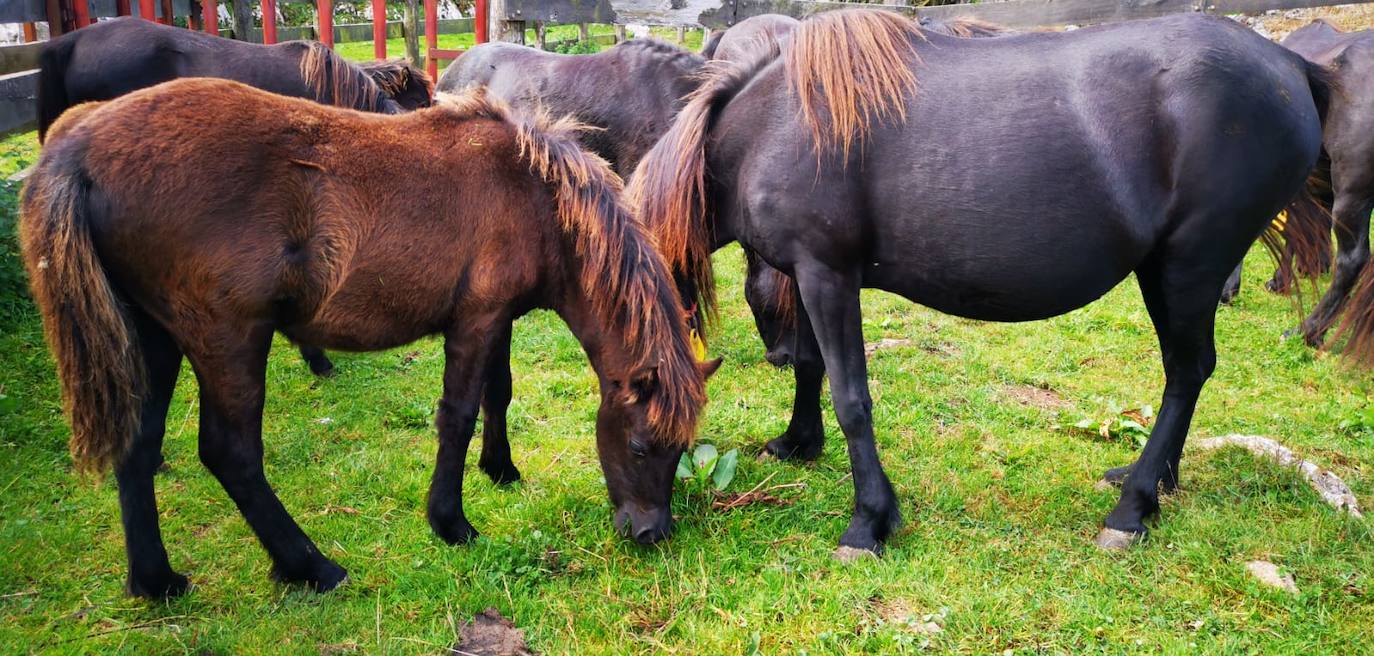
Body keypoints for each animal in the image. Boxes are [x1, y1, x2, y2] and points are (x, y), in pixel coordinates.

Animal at [21, 78, 714, 599]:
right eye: (642, 446)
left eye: (682, 449)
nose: (651, 533)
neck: (532, 195)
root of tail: (78, 147)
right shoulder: (476, 321)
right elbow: (459, 414)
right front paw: (451, 522)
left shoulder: (499, 319)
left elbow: (500, 393)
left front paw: (501, 469)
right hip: (227, 339)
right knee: (230, 453)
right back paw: (310, 567)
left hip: (153, 338)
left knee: (137, 447)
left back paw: (156, 580)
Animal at [632, 8, 1330, 552]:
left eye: (642, 436)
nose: (643, 531)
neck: (772, 124)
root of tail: (1290, 65)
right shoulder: (804, 272)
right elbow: (810, 365)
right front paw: (799, 443)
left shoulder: (829, 276)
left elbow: (852, 398)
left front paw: (869, 521)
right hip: (1165, 270)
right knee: (1189, 371)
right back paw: (1158, 482)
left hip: (1190, 266)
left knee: (1186, 372)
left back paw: (1133, 508)